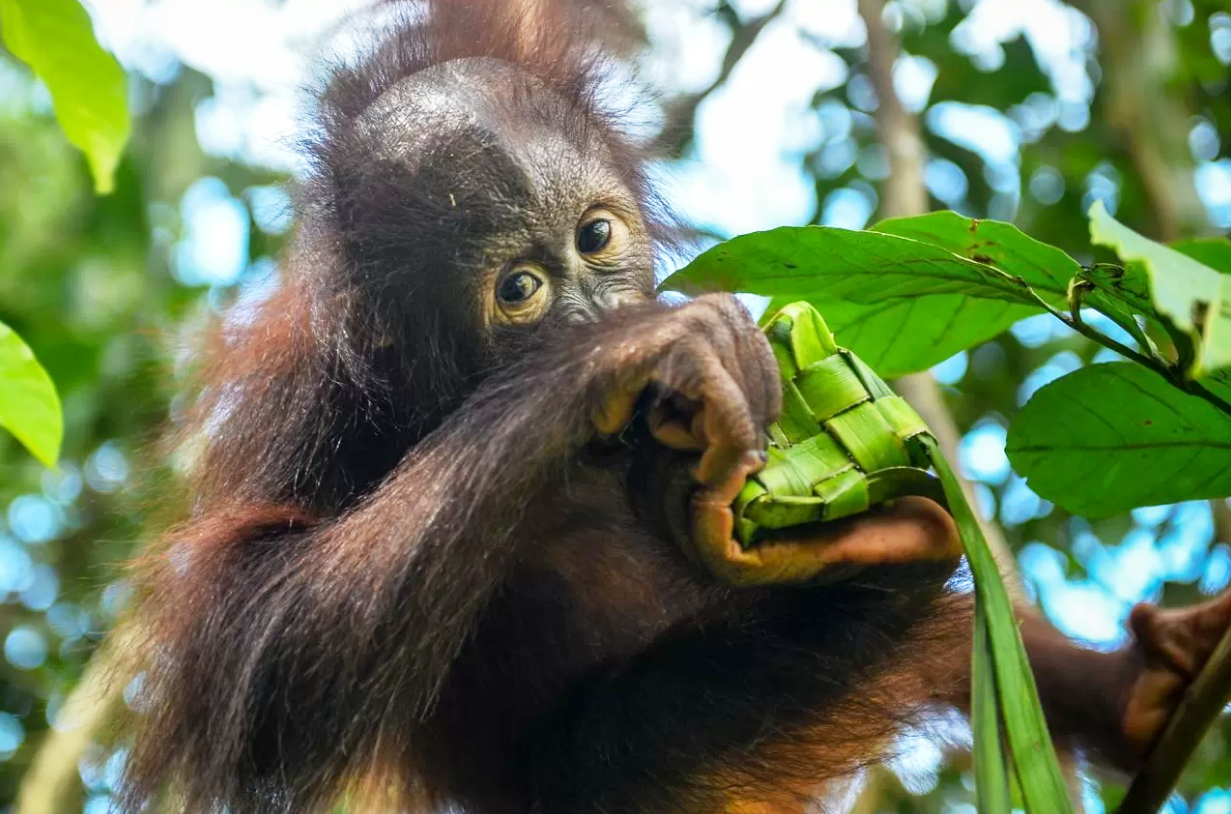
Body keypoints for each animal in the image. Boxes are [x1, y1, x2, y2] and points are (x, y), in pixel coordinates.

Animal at [116, 1, 1231, 812]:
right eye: (520, 289)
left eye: (597, 237)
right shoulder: (306, 407)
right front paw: (625, 357)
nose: (601, 309)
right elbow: (264, 660)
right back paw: (878, 565)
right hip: (613, 777)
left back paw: (1127, 689)